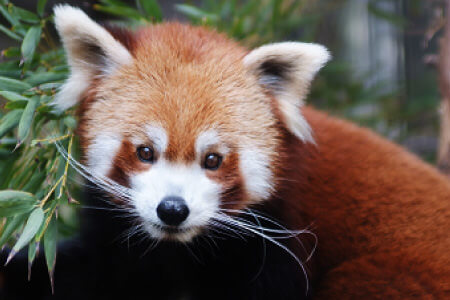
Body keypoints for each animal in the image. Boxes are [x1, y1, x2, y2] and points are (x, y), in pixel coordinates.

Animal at [0, 4, 450, 300]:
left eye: (212, 159)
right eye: (145, 152)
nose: (172, 209)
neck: (186, 247)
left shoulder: (280, 246)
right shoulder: (122, 239)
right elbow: (82, 271)